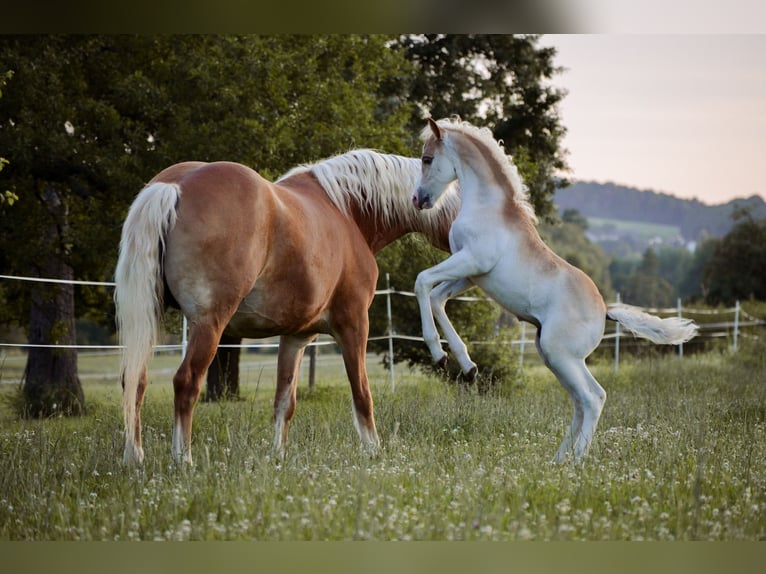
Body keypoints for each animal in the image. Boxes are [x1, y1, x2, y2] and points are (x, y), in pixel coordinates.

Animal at [115, 150, 459, 465]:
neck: (347, 212)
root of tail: (176, 186)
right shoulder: (354, 324)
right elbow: (362, 392)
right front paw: (373, 449)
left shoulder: (296, 337)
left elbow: (285, 400)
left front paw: (277, 455)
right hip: (209, 325)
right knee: (185, 383)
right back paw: (183, 460)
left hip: (150, 318)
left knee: (135, 380)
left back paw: (134, 457)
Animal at [412, 117, 698, 463]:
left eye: (427, 159)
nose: (418, 200)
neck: (487, 207)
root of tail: (605, 311)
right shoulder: (471, 275)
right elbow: (436, 297)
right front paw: (465, 366)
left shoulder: (472, 261)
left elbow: (422, 281)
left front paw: (439, 354)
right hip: (556, 357)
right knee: (584, 399)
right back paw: (558, 460)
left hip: (559, 354)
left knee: (591, 398)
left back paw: (575, 462)